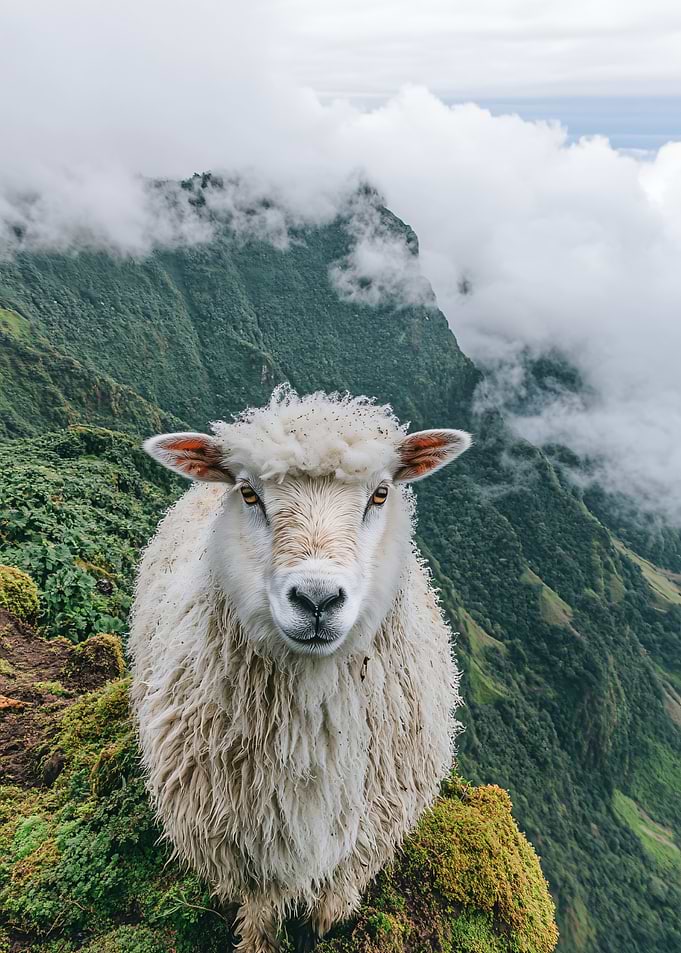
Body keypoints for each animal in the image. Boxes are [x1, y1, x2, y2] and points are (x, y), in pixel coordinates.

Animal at [129, 386, 471, 953]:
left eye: (380, 494)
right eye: (249, 493)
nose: (316, 598)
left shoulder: (365, 840)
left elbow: (329, 906)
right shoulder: (242, 845)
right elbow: (262, 912)